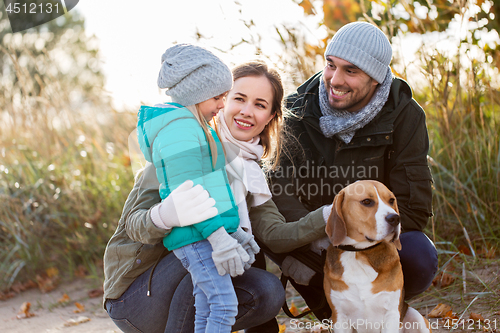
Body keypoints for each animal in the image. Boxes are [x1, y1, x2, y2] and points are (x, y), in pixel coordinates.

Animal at [324, 180, 430, 330]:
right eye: (367, 201)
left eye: (391, 200)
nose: (395, 218)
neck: (359, 253)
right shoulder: (339, 317)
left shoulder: (392, 313)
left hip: (417, 319)